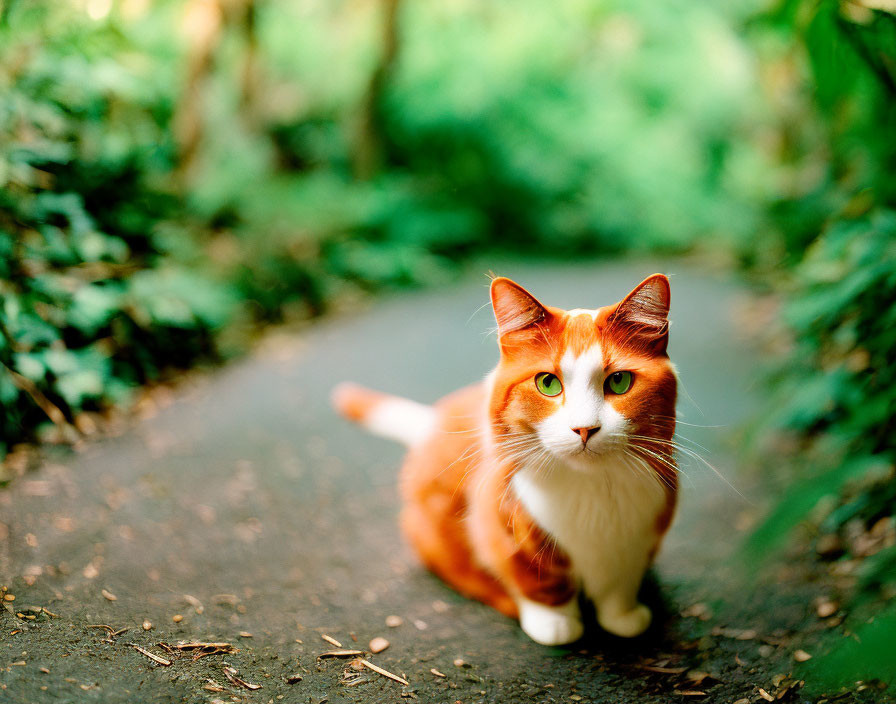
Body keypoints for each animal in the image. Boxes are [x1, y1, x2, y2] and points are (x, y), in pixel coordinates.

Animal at [332, 274, 676, 644]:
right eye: (548, 383)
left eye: (619, 381)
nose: (585, 429)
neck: (592, 491)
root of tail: (432, 423)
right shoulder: (504, 523)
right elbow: (538, 580)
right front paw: (555, 624)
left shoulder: (641, 537)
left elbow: (620, 584)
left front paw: (623, 616)